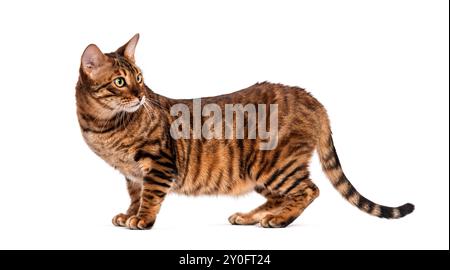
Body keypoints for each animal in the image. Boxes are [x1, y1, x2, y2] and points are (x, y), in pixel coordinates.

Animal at [75, 32, 414, 229]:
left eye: (140, 78)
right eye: (121, 81)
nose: (141, 95)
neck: (104, 125)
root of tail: (312, 99)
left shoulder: (158, 164)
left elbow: (151, 196)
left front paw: (143, 219)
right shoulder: (132, 174)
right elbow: (136, 196)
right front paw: (129, 214)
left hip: (275, 164)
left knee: (309, 190)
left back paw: (278, 221)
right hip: (259, 171)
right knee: (281, 197)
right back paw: (252, 217)